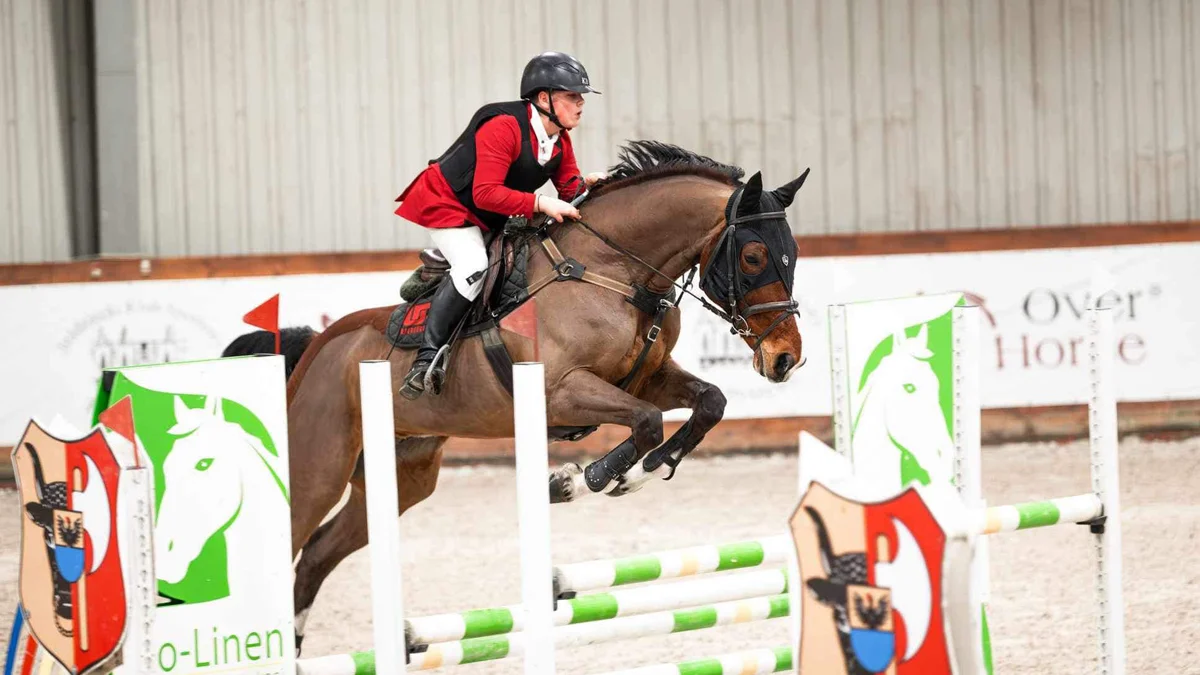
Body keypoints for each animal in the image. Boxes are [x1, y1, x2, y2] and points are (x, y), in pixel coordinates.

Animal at [220, 140, 811, 648]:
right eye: (754, 256)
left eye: (793, 254)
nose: (786, 358)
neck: (612, 271)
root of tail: (318, 346)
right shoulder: (561, 390)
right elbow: (644, 422)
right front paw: (576, 481)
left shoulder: (648, 376)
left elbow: (709, 402)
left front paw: (636, 475)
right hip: (319, 467)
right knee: (292, 539)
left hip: (402, 476)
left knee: (316, 555)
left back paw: (297, 647)